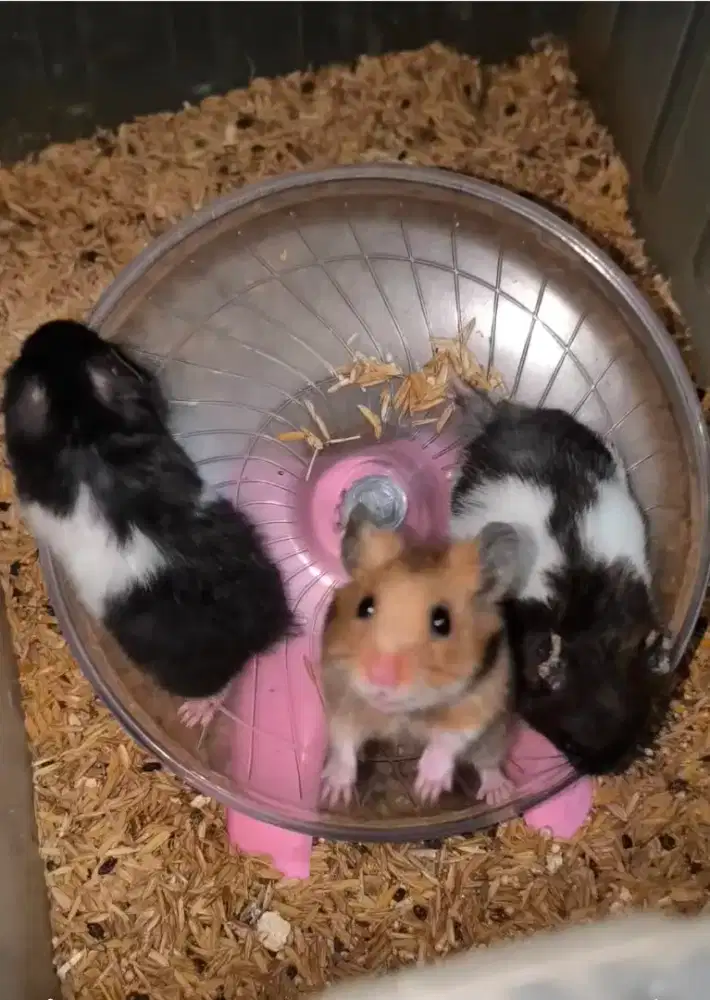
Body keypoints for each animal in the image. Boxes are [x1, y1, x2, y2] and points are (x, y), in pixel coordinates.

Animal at [2, 319, 295, 722]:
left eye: (29, 351)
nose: (49, 326)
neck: (78, 417)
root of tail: (264, 625)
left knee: (220, 684)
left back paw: (194, 713)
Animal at [319, 506, 532, 808]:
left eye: (442, 621)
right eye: (365, 606)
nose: (380, 679)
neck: (403, 712)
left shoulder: (482, 699)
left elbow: (447, 739)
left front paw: (427, 790)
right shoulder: (338, 692)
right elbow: (343, 740)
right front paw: (334, 793)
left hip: (497, 734)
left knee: (488, 763)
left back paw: (499, 794)